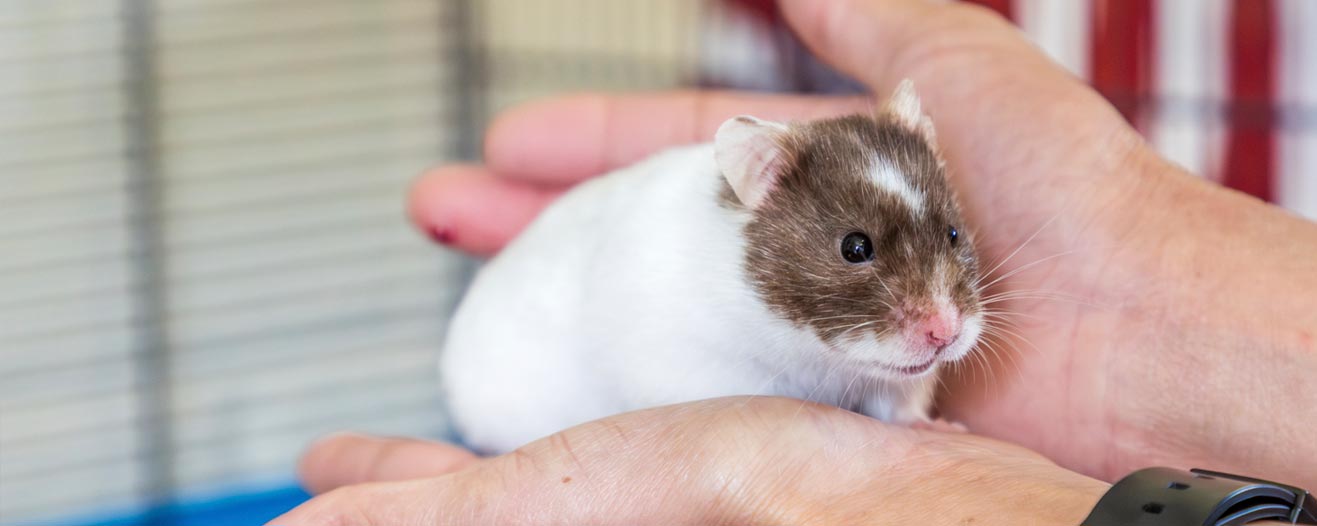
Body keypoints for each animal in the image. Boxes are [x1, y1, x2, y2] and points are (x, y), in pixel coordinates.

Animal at [441, 80, 984, 454]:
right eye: (855, 247)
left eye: (954, 234)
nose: (946, 333)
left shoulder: (897, 381)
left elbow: (899, 404)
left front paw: (942, 427)